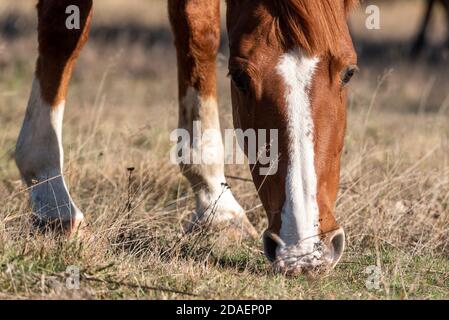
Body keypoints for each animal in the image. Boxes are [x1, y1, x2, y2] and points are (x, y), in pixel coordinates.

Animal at [14, 0, 356, 276]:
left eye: (350, 71)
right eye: (239, 78)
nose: (303, 253)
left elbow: (198, 30)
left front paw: (217, 207)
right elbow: (62, 30)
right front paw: (53, 201)